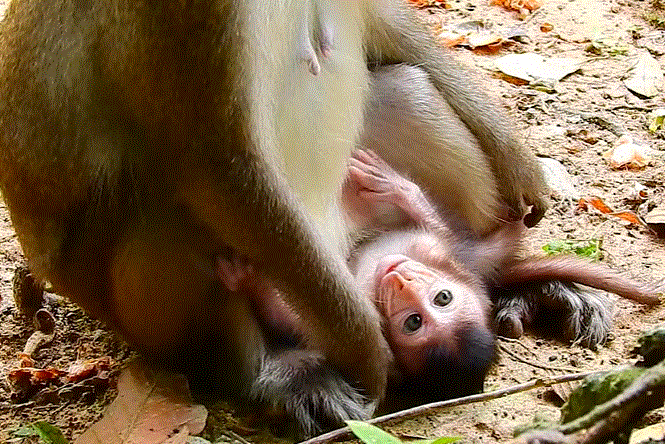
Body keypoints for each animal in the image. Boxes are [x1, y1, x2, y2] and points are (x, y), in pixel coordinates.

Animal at [0, 0, 550, 434]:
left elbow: (382, 22)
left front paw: (518, 162)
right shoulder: (188, 13)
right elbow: (215, 166)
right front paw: (371, 354)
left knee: (406, 87)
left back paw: (498, 273)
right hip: (144, 314)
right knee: (173, 218)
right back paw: (269, 373)